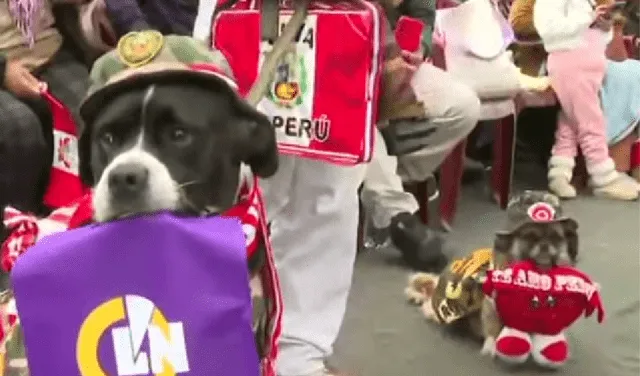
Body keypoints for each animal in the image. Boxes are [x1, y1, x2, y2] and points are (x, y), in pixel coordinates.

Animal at [404, 192, 580, 354]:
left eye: (555, 238)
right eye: (530, 237)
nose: (545, 245)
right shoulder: (492, 306)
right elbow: (494, 328)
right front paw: (492, 347)